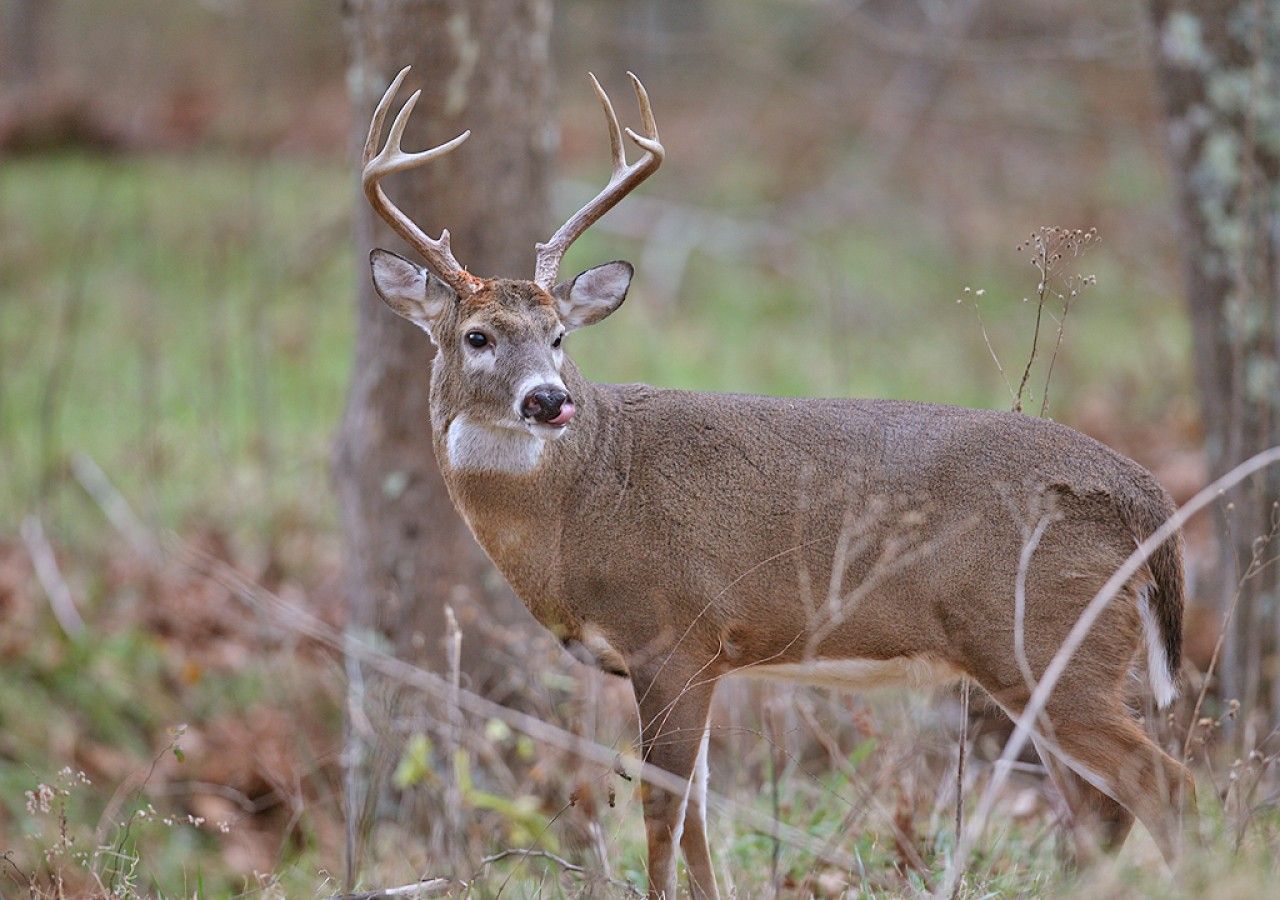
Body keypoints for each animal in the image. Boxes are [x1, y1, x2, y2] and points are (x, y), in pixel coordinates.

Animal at [359, 67, 1193, 899]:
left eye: (558, 336)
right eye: (477, 336)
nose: (549, 400)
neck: (581, 503)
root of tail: (1150, 504)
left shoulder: (674, 632)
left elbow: (663, 814)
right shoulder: (701, 658)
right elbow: (697, 814)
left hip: (1045, 640)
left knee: (1160, 782)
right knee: (1100, 810)